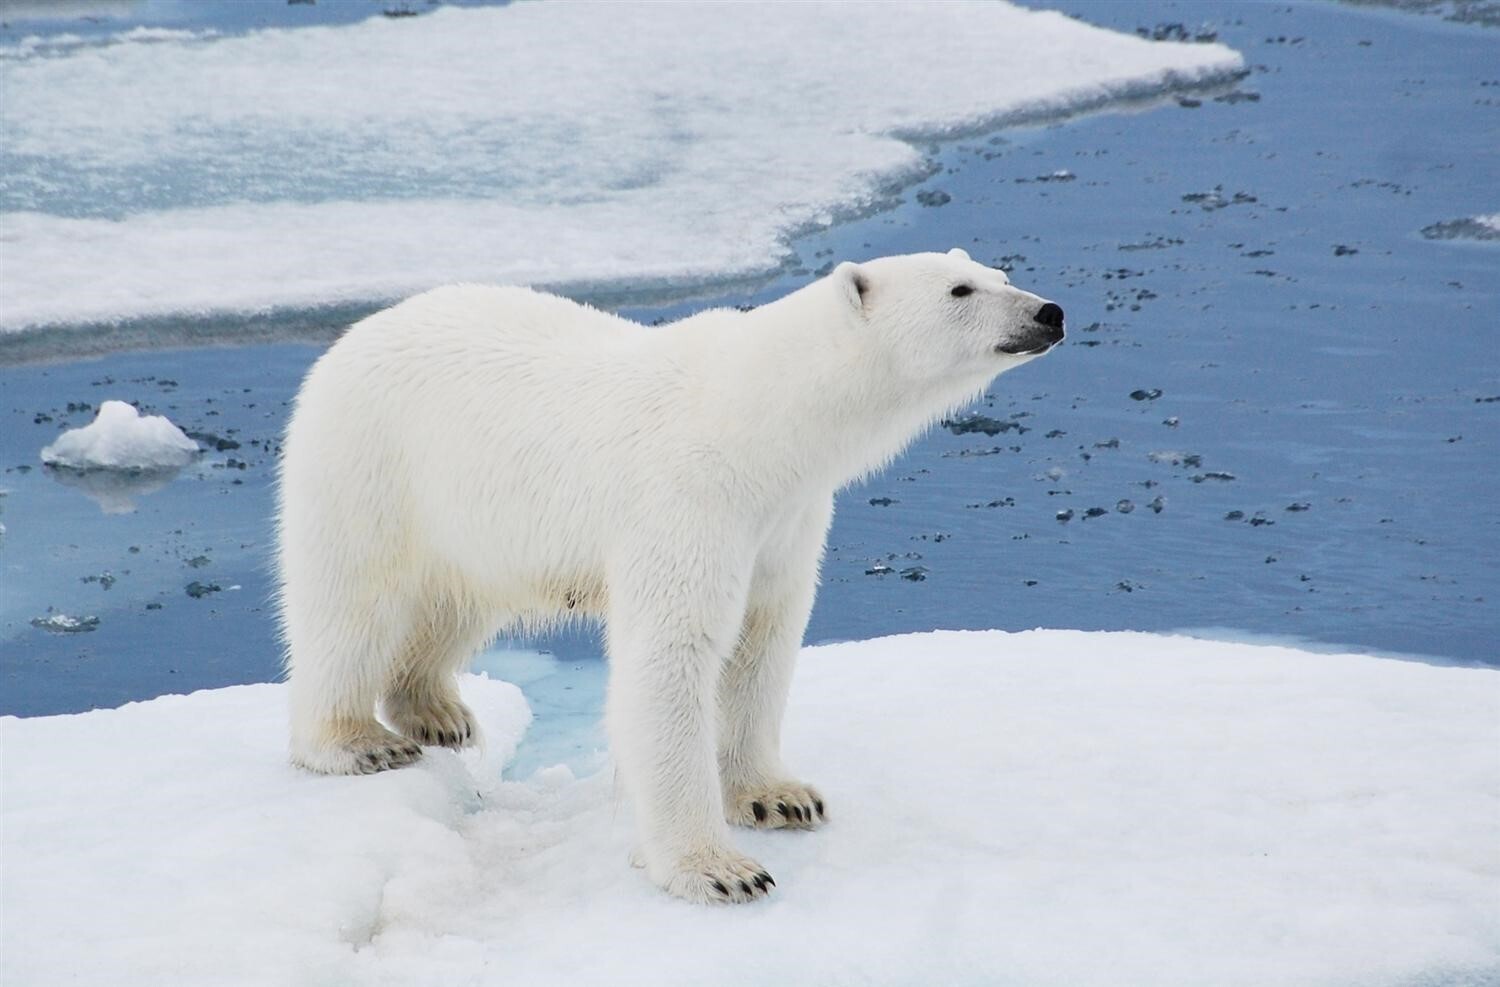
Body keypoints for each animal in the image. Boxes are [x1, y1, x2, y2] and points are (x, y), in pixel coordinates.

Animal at [276, 246, 1062, 900]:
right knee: (351, 602)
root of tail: (350, 339)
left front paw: (778, 796)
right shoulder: (688, 498)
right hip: (375, 464)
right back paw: (357, 740)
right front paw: (718, 869)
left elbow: (764, 636)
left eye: (998, 270)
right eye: (960, 289)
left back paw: (437, 710)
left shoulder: (783, 517)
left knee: (456, 601)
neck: (760, 424)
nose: (1049, 312)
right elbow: (672, 653)